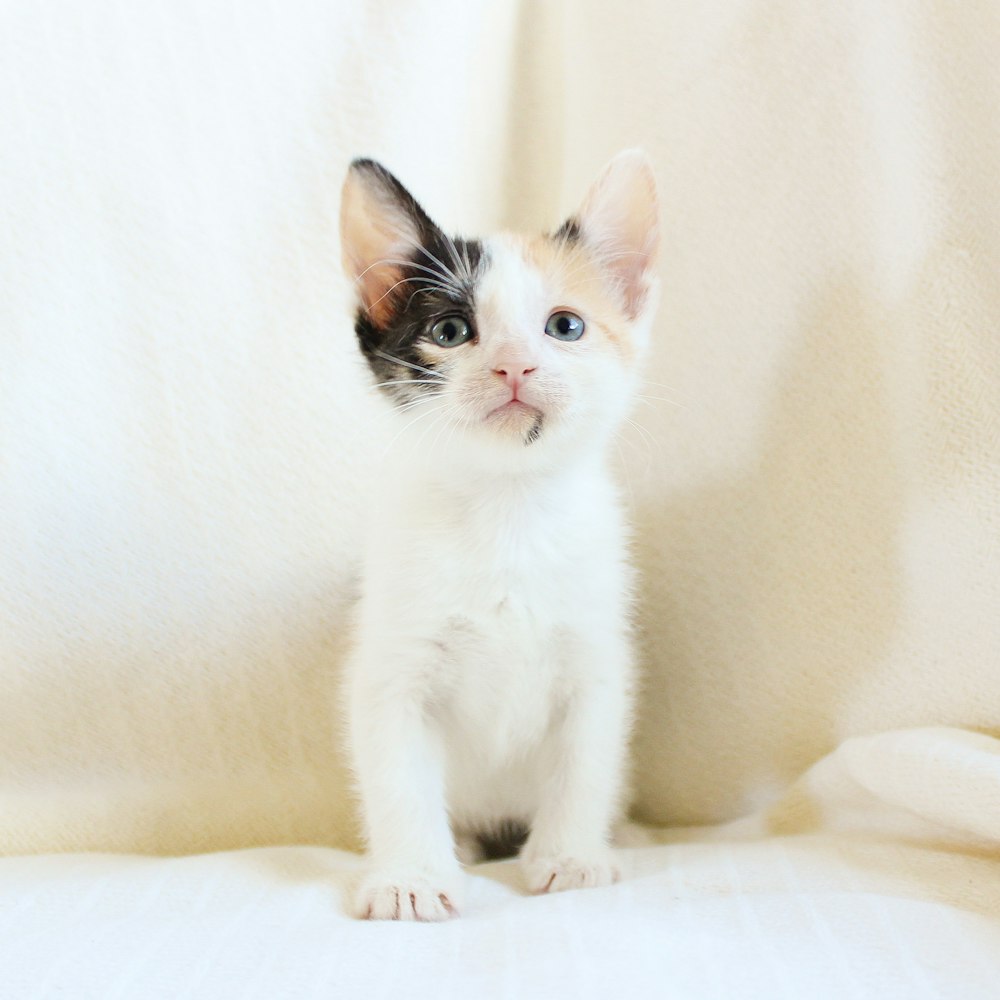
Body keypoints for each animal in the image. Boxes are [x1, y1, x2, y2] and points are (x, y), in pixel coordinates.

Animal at [340, 150, 660, 920]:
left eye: (565, 327)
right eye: (451, 331)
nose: (515, 364)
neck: (506, 510)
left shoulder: (596, 657)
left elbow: (586, 760)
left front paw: (571, 856)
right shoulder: (392, 664)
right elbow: (397, 772)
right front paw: (411, 876)